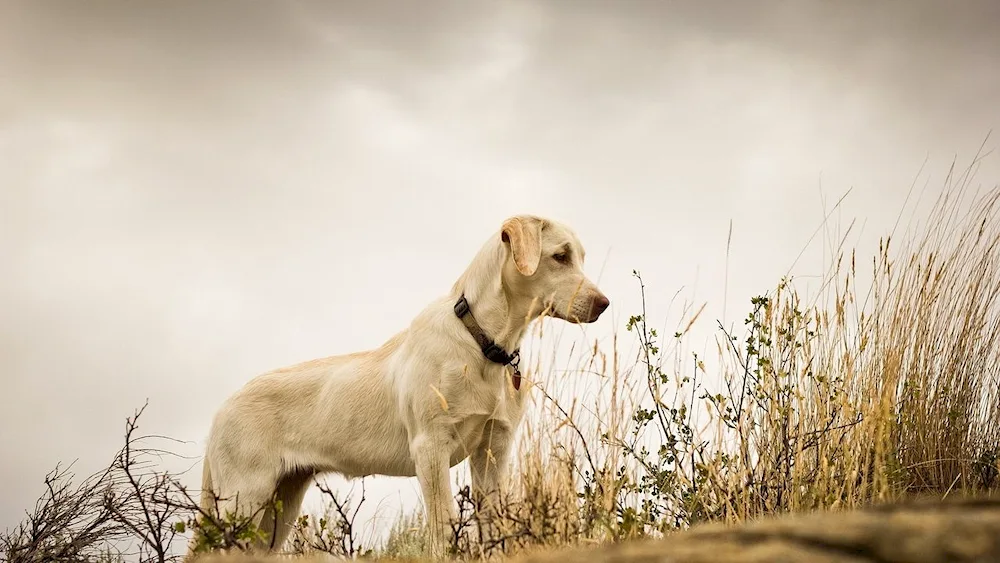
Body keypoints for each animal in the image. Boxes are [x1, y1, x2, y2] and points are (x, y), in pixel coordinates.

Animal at [187, 215, 608, 560]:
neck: (485, 343)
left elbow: (492, 525)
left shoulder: (494, 449)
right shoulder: (430, 447)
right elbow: (444, 528)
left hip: (279, 506)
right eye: (560, 256)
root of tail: (222, 408)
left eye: (580, 258)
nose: (604, 304)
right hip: (243, 498)